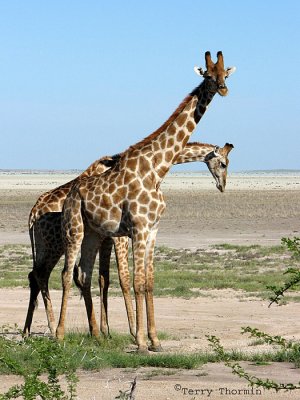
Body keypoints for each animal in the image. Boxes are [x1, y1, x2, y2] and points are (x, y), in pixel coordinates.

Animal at [22, 142, 232, 336]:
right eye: (223, 164)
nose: (222, 185)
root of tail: (33, 213)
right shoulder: (119, 237)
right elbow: (123, 277)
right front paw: (132, 329)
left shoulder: (106, 239)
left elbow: (103, 278)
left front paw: (105, 330)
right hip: (56, 244)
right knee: (42, 275)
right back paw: (51, 327)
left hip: (44, 245)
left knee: (35, 275)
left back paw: (27, 330)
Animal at [55, 49, 234, 350]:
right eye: (208, 75)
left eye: (225, 74)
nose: (223, 89)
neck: (158, 169)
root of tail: (71, 193)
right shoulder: (137, 229)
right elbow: (137, 282)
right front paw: (139, 341)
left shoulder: (152, 230)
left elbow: (149, 282)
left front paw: (155, 340)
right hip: (74, 229)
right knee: (67, 275)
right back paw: (59, 335)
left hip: (93, 234)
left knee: (84, 274)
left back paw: (96, 334)